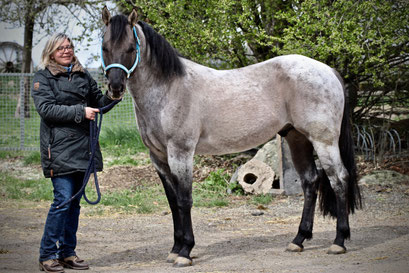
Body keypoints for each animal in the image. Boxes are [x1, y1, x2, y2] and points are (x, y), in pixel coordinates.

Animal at [99, 6, 360, 266]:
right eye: (104, 47)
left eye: (131, 48)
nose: (115, 88)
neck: (168, 89)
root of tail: (328, 70)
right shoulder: (159, 158)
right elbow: (173, 202)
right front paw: (174, 249)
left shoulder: (181, 153)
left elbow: (184, 200)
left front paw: (185, 252)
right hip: (297, 138)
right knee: (310, 181)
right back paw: (298, 240)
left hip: (324, 141)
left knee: (339, 179)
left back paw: (339, 241)